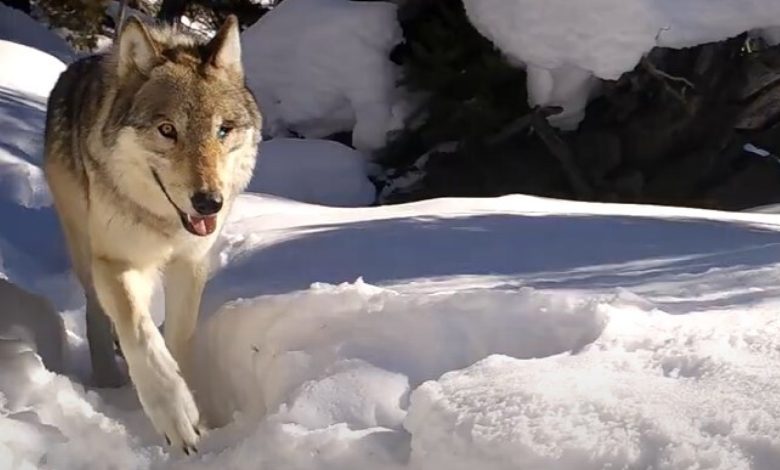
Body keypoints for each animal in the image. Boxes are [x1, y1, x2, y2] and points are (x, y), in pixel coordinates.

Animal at [43, 16, 262, 454]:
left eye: (223, 130)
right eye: (167, 130)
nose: (209, 203)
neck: (165, 223)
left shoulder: (190, 263)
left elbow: (177, 338)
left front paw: (196, 412)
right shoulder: (115, 261)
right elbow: (141, 335)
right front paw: (175, 416)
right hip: (84, 247)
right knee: (98, 310)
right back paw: (108, 376)